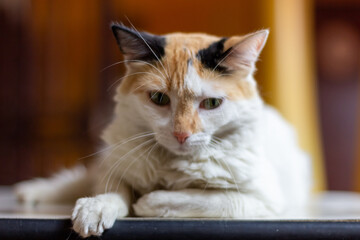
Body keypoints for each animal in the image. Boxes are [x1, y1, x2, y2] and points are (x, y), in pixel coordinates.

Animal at [14, 23, 312, 237]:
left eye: (212, 103)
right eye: (159, 99)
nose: (181, 134)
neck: (171, 163)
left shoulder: (262, 199)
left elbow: (204, 198)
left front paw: (148, 202)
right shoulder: (116, 170)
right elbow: (115, 191)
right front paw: (96, 208)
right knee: (82, 179)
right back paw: (32, 193)